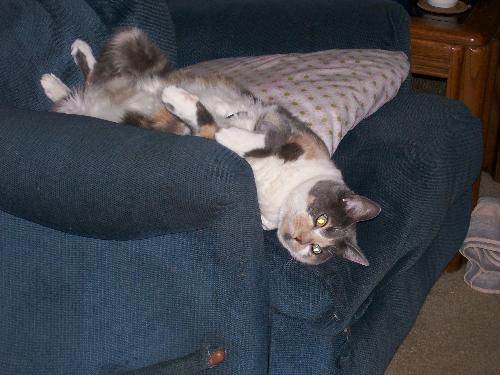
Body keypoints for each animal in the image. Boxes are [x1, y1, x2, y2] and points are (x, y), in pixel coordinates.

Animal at [41, 27, 380, 268]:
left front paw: (215, 126)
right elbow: (260, 138)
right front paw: (205, 115)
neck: (282, 196)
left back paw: (57, 84)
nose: (297, 237)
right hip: (137, 45)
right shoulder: (286, 127)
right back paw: (74, 57)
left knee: (87, 89)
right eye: (322, 220)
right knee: (103, 74)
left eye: (316, 248)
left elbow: (210, 128)